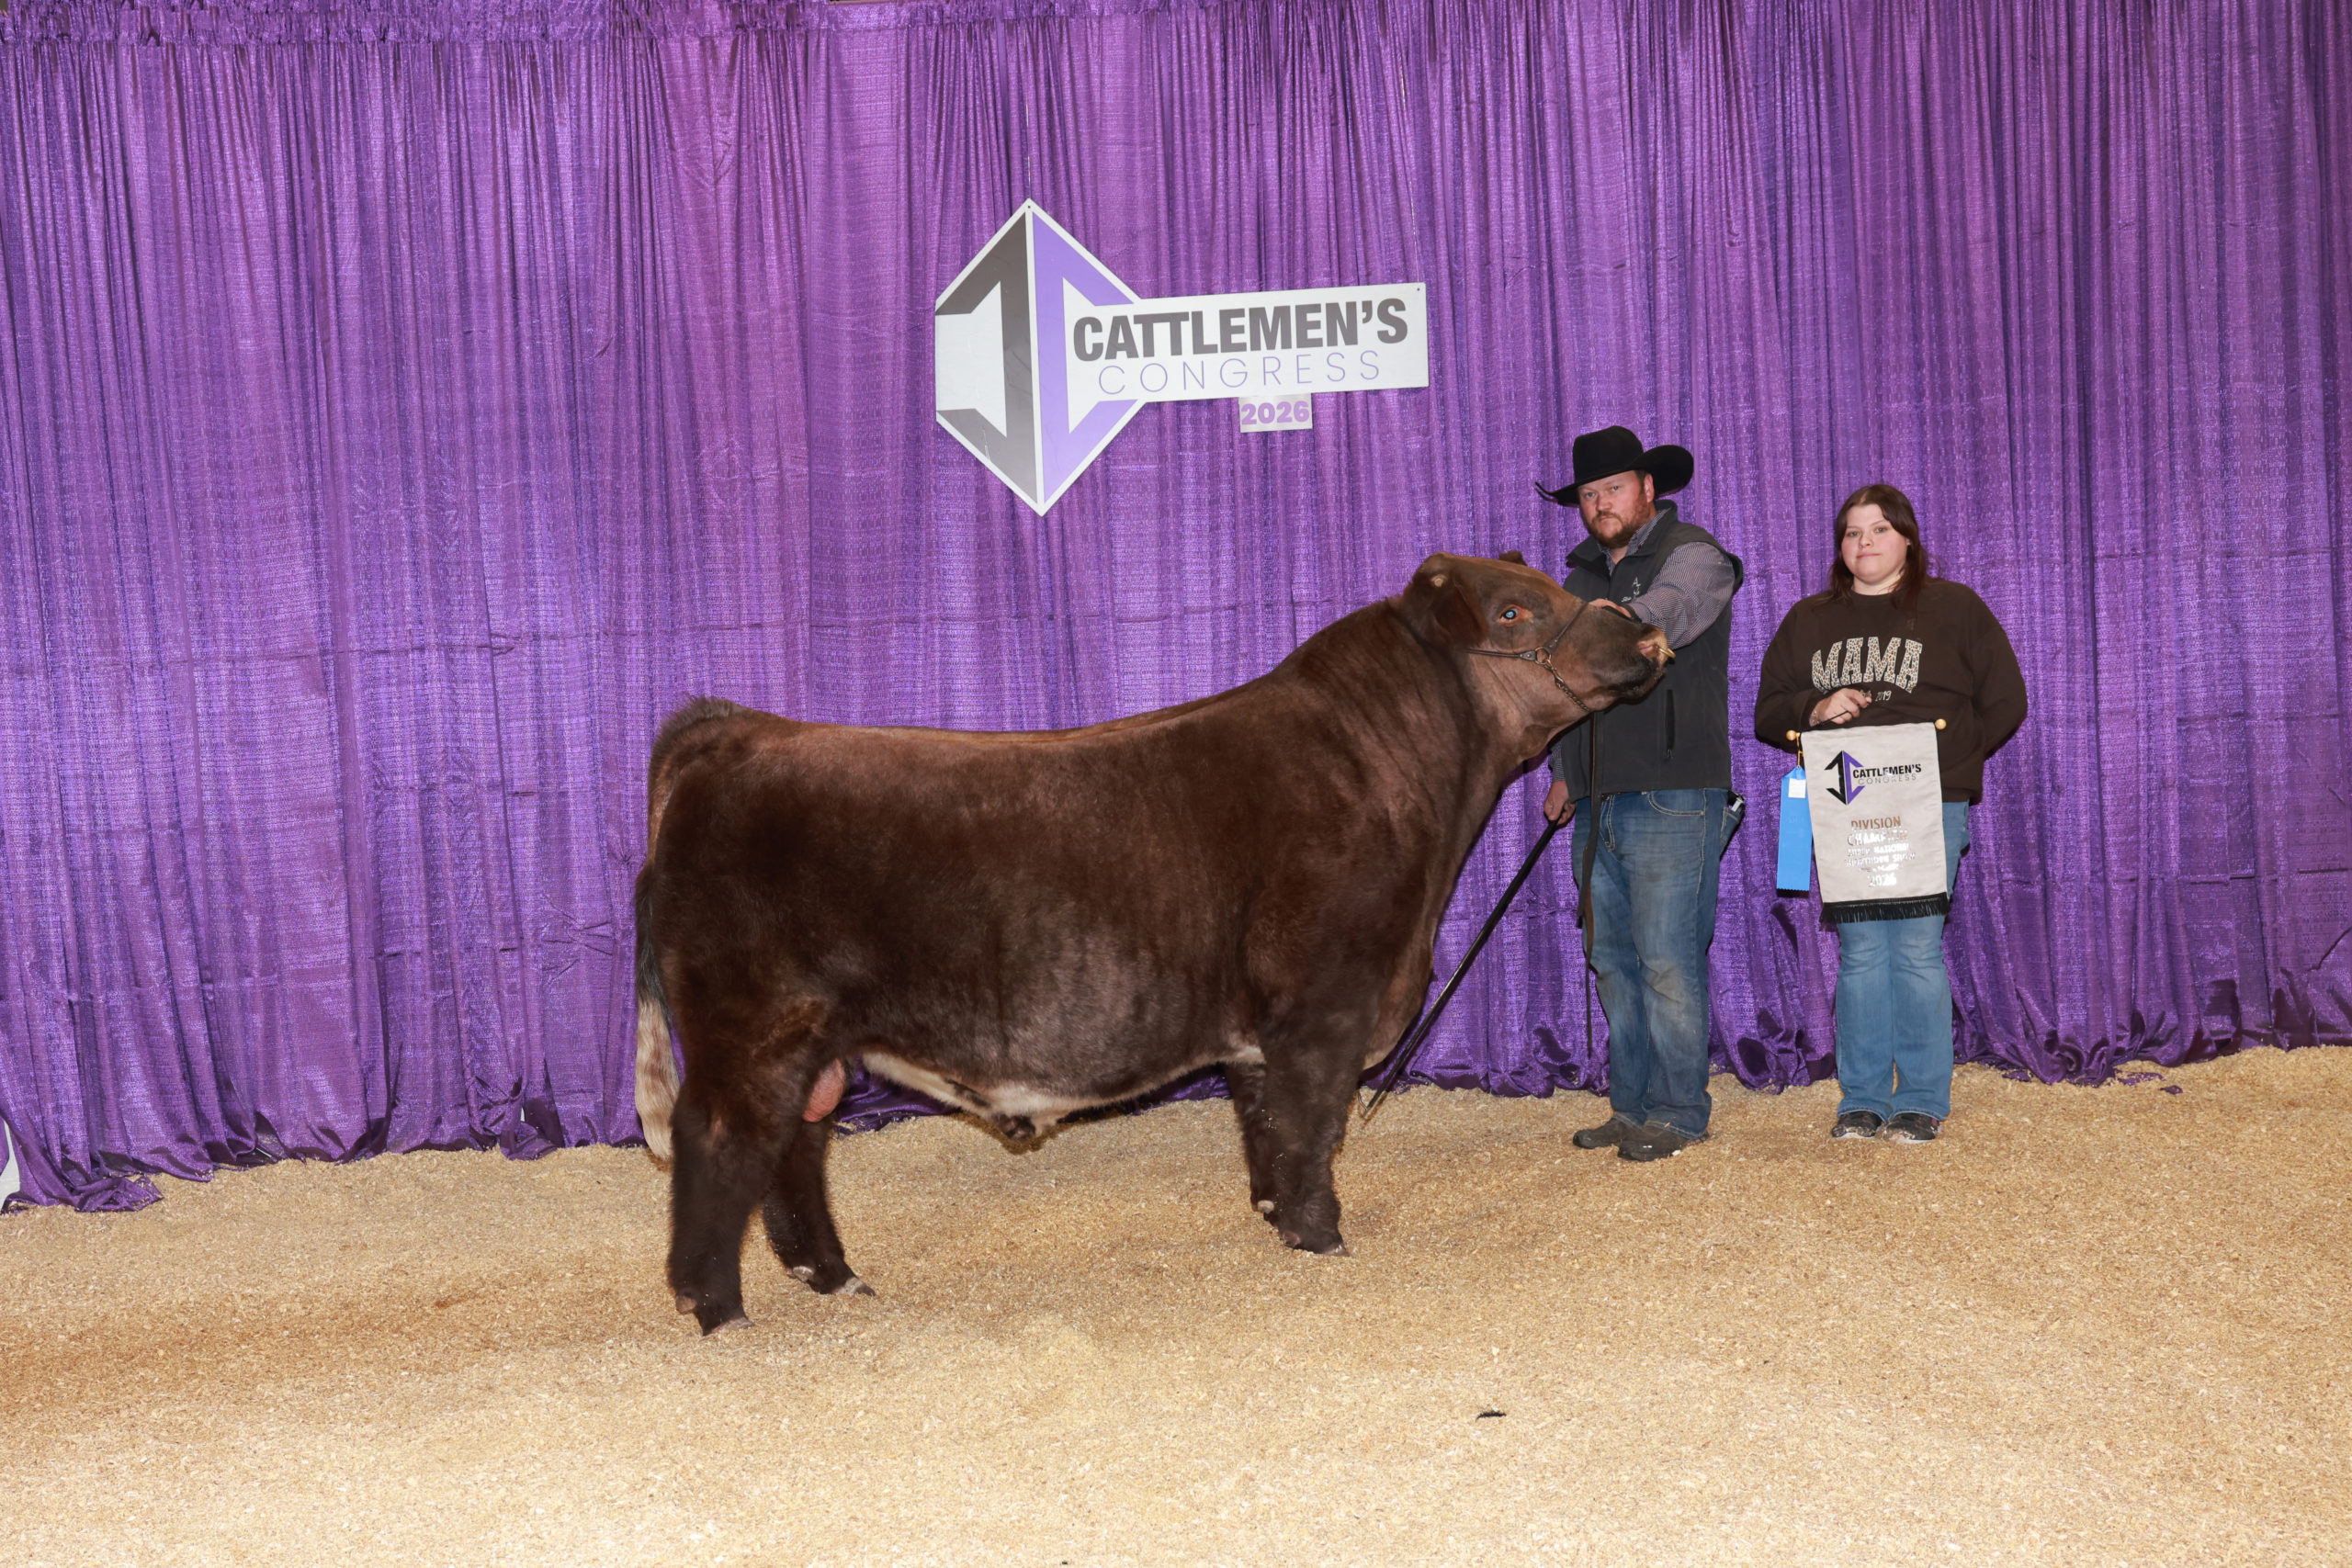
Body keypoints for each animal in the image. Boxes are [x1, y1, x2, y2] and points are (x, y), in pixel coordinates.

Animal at [634, 552, 1670, 1333]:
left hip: (815, 1041)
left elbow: (1267, 1126)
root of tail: (736, 732)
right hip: (753, 1021)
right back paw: (718, 1310)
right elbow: (1312, 1126)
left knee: (795, 1144)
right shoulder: (1326, 1002)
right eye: (1513, 608)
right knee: (721, 1138)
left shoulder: (1261, 1032)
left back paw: (835, 1278)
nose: (1643, 633)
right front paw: (1324, 1240)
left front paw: (1275, 1223)